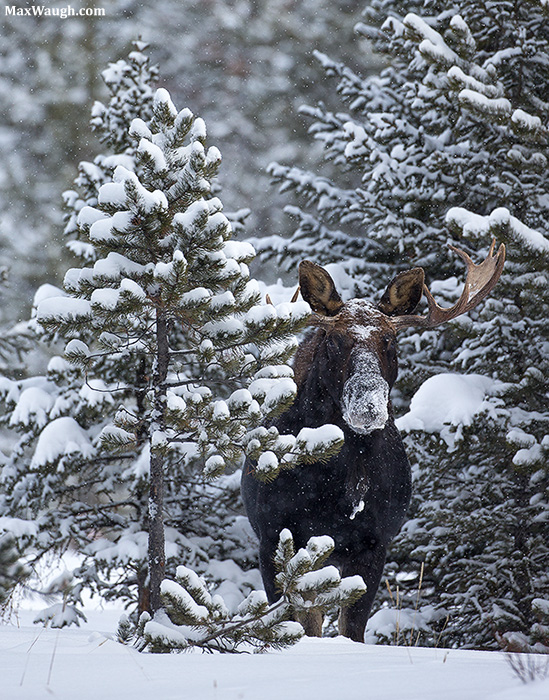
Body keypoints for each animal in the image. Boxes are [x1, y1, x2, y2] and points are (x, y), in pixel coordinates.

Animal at [241, 240, 505, 642]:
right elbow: (295, 624)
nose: (368, 404)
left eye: (389, 339)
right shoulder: (272, 537)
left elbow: (352, 628)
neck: (336, 487)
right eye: (335, 339)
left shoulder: (374, 542)